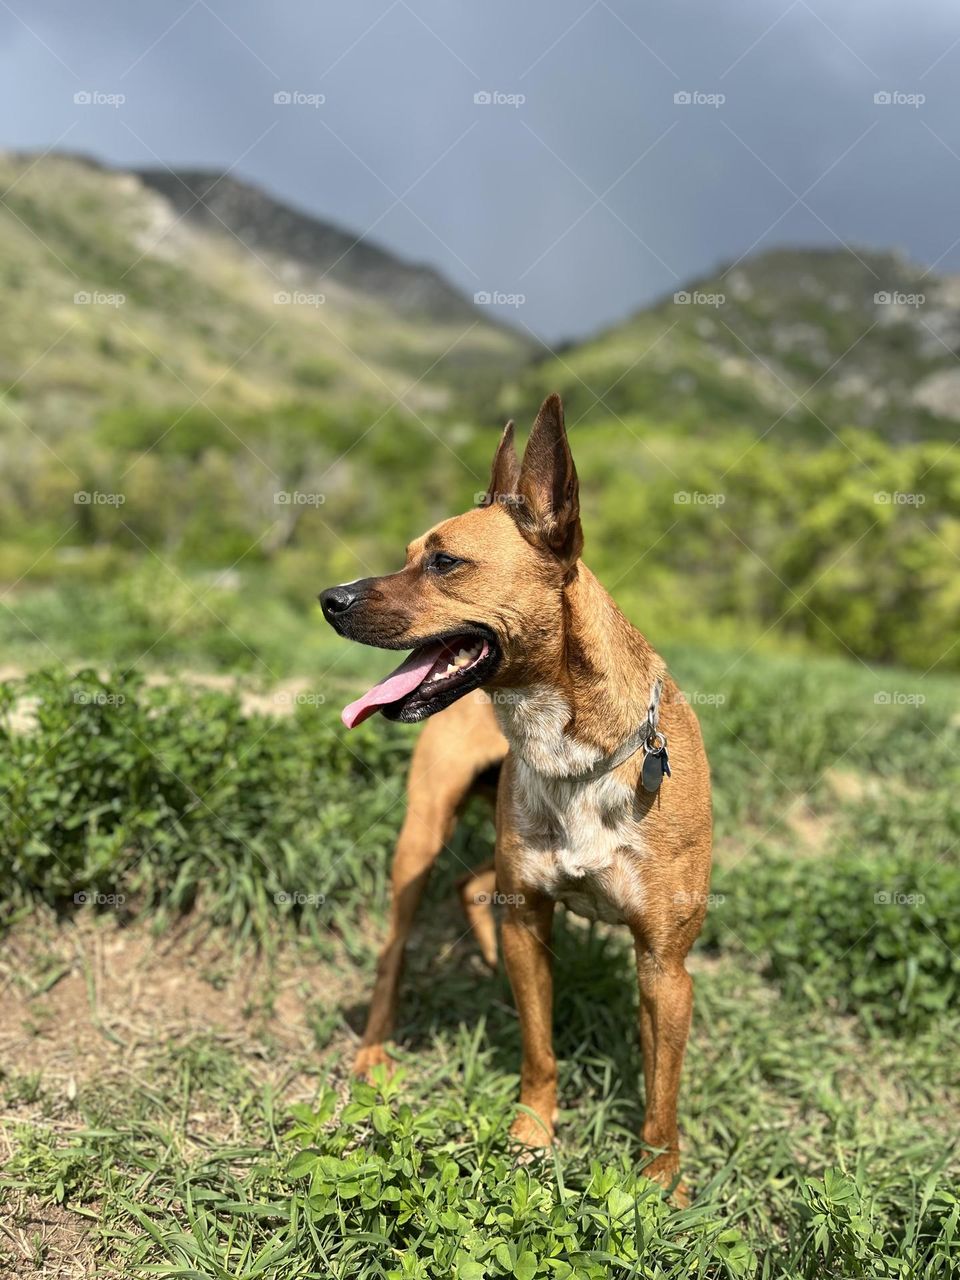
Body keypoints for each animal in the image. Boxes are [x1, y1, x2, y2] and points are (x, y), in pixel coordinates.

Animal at [321, 391, 716, 1187]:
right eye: (408, 555)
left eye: (444, 561)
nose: (329, 599)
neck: (572, 751)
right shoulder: (531, 923)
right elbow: (540, 1051)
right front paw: (532, 1136)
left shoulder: (665, 966)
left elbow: (661, 1096)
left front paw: (661, 1185)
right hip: (420, 837)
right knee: (396, 950)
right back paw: (377, 1050)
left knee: (472, 885)